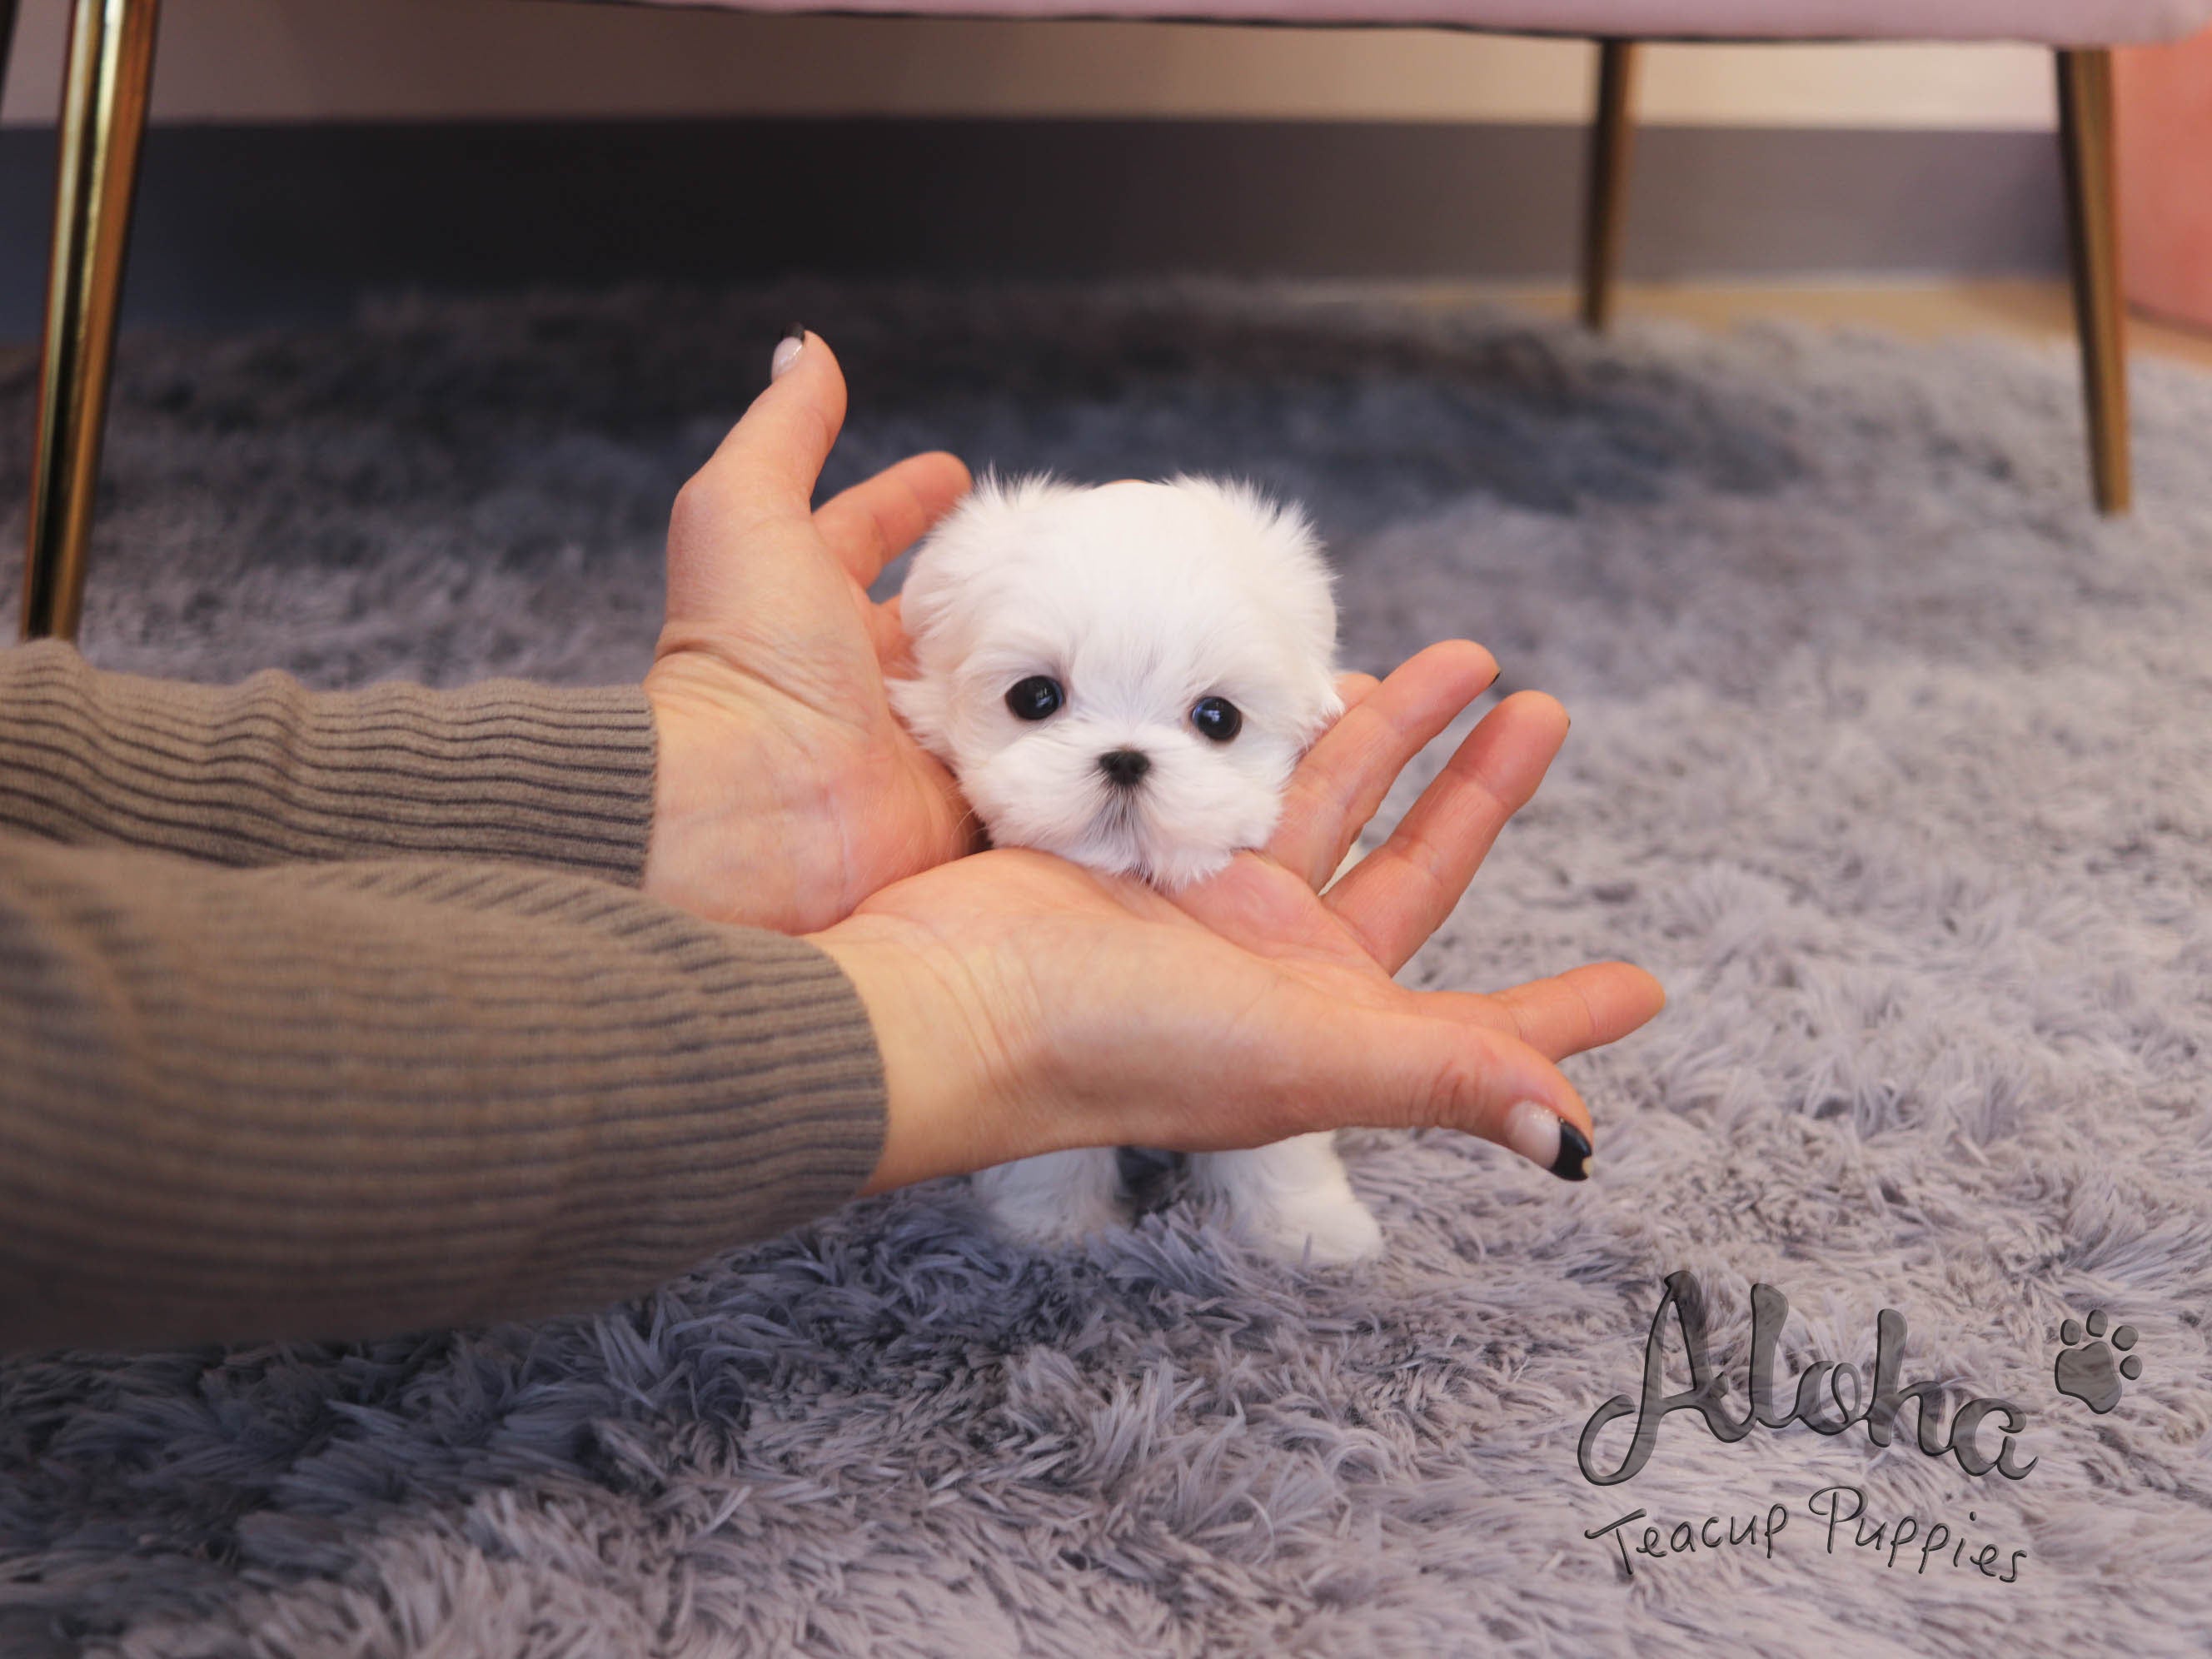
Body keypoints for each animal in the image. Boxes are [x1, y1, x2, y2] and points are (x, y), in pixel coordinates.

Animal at [884, 473, 1380, 1265]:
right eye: (1034, 697)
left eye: (1218, 718)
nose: (1125, 757)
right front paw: (1055, 1229)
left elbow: (1279, 1140)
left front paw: (1308, 1231)